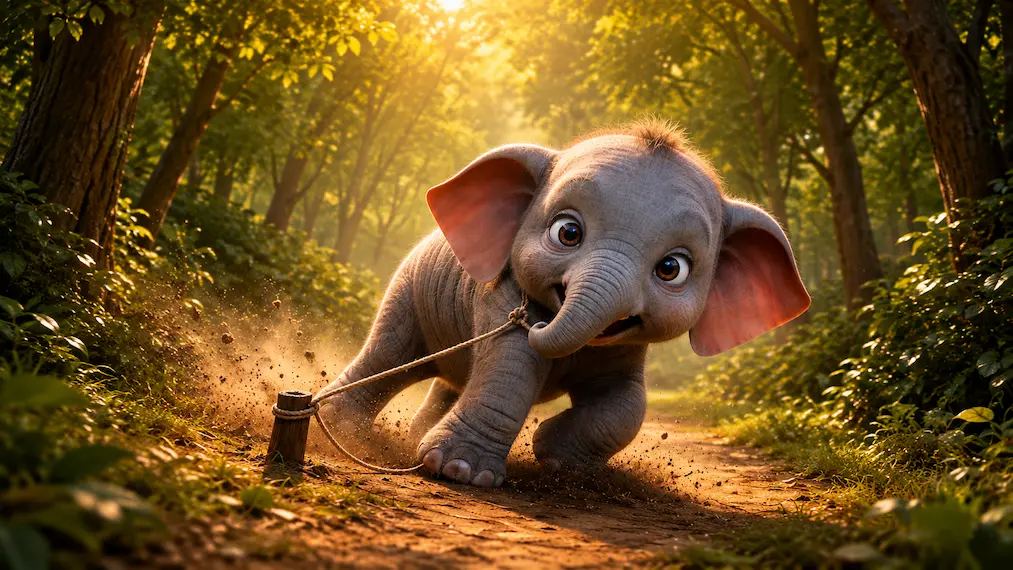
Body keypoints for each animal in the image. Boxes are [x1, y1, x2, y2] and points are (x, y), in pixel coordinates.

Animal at [317, 120, 810, 488]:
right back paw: (341, 428)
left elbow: (627, 402)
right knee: (391, 354)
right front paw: (458, 472)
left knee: (447, 378)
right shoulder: (497, 295)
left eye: (672, 269)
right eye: (567, 233)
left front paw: (555, 458)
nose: (531, 320)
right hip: (408, 289)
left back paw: (410, 437)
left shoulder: (625, 346)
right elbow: (511, 365)